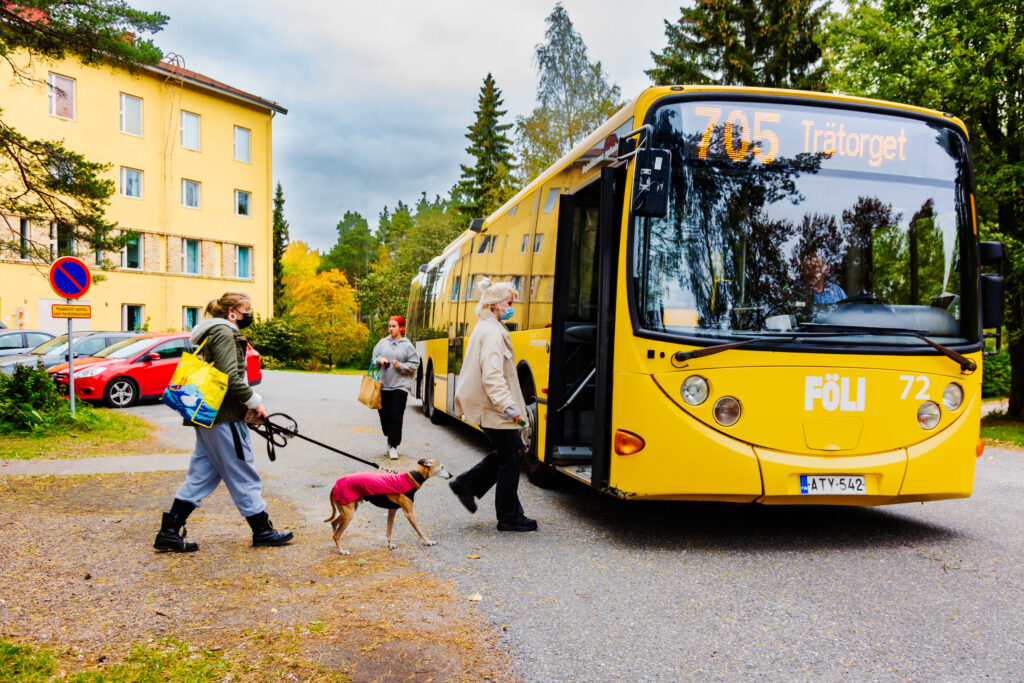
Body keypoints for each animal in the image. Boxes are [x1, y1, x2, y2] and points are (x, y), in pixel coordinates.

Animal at [323, 458, 452, 557]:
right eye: (442, 467)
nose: (451, 475)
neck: (411, 479)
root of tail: (335, 485)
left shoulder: (392, 510)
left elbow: (389, 531)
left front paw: (390, 545)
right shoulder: (409, 513)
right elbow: (419, 530)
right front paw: (428, 542)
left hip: (348, 510)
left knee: (334, 524)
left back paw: (337, 546)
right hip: (349, 514)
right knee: (336, 534)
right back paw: (341, 551)